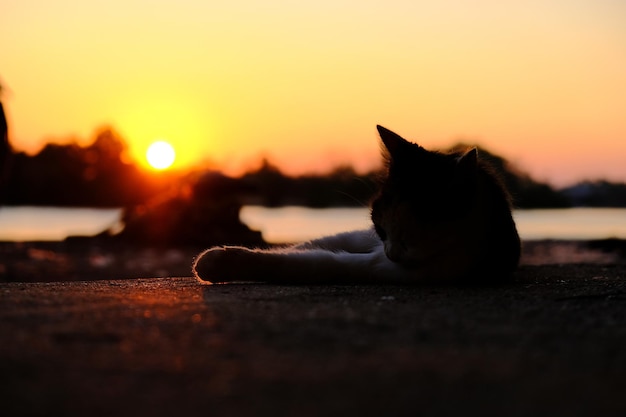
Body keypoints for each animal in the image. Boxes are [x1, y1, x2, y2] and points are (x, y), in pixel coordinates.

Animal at [193, 125, 520, 284]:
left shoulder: (395, 269)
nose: (391, 252)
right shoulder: (366, 238)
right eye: (381, 225)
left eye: (412, 239)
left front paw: (219, 262)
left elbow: (312, 262)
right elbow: (313, 243)